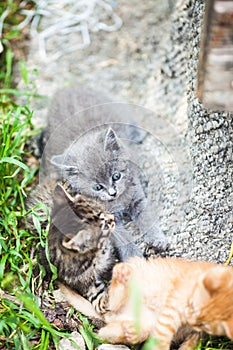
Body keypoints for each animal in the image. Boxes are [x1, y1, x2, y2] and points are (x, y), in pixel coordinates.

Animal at [99, 256, 233, 348]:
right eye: (191, 305)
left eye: (202, 324)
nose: (189, 320)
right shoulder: (173, 304)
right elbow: (164, 332)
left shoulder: (198, 333)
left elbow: (190, 343)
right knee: (114, 303)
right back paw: (121, 275)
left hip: (144, 322)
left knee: (108, 332)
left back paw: (131, 331)